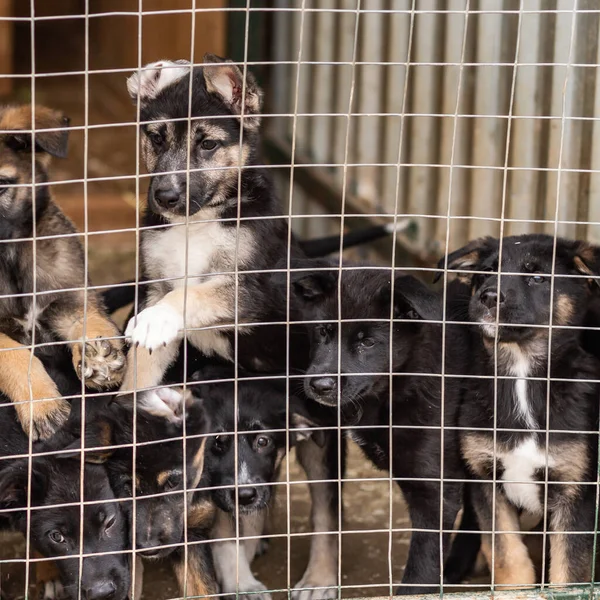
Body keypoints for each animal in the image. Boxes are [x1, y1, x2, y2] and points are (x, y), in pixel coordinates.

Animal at [0, 104, 125, 440]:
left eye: (1, 186)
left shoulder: (72, 300)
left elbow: (90, 323)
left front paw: (99, 357)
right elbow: (13, 353)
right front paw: (42, 404)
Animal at [438, 233, 600, 584]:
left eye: (537, 277)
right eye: (487, 271)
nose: (487, 297)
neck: (521, 375)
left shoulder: (576, 492)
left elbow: (568, 572)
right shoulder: (485, 479)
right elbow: (507, 556)